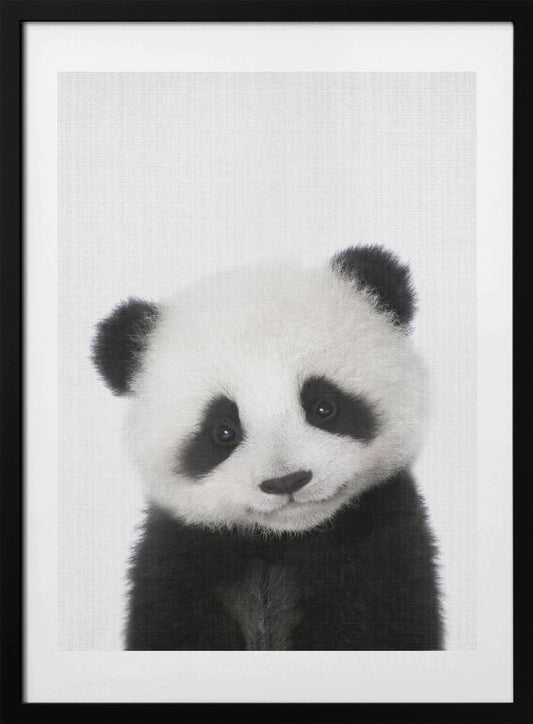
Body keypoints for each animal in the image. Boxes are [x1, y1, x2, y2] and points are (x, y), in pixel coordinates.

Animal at [92, 245, 443, 650]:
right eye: (223, 431)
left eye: (324, 407)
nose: (286, 481)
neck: (283, 541)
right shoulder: (180, 561)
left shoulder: (382, 548)